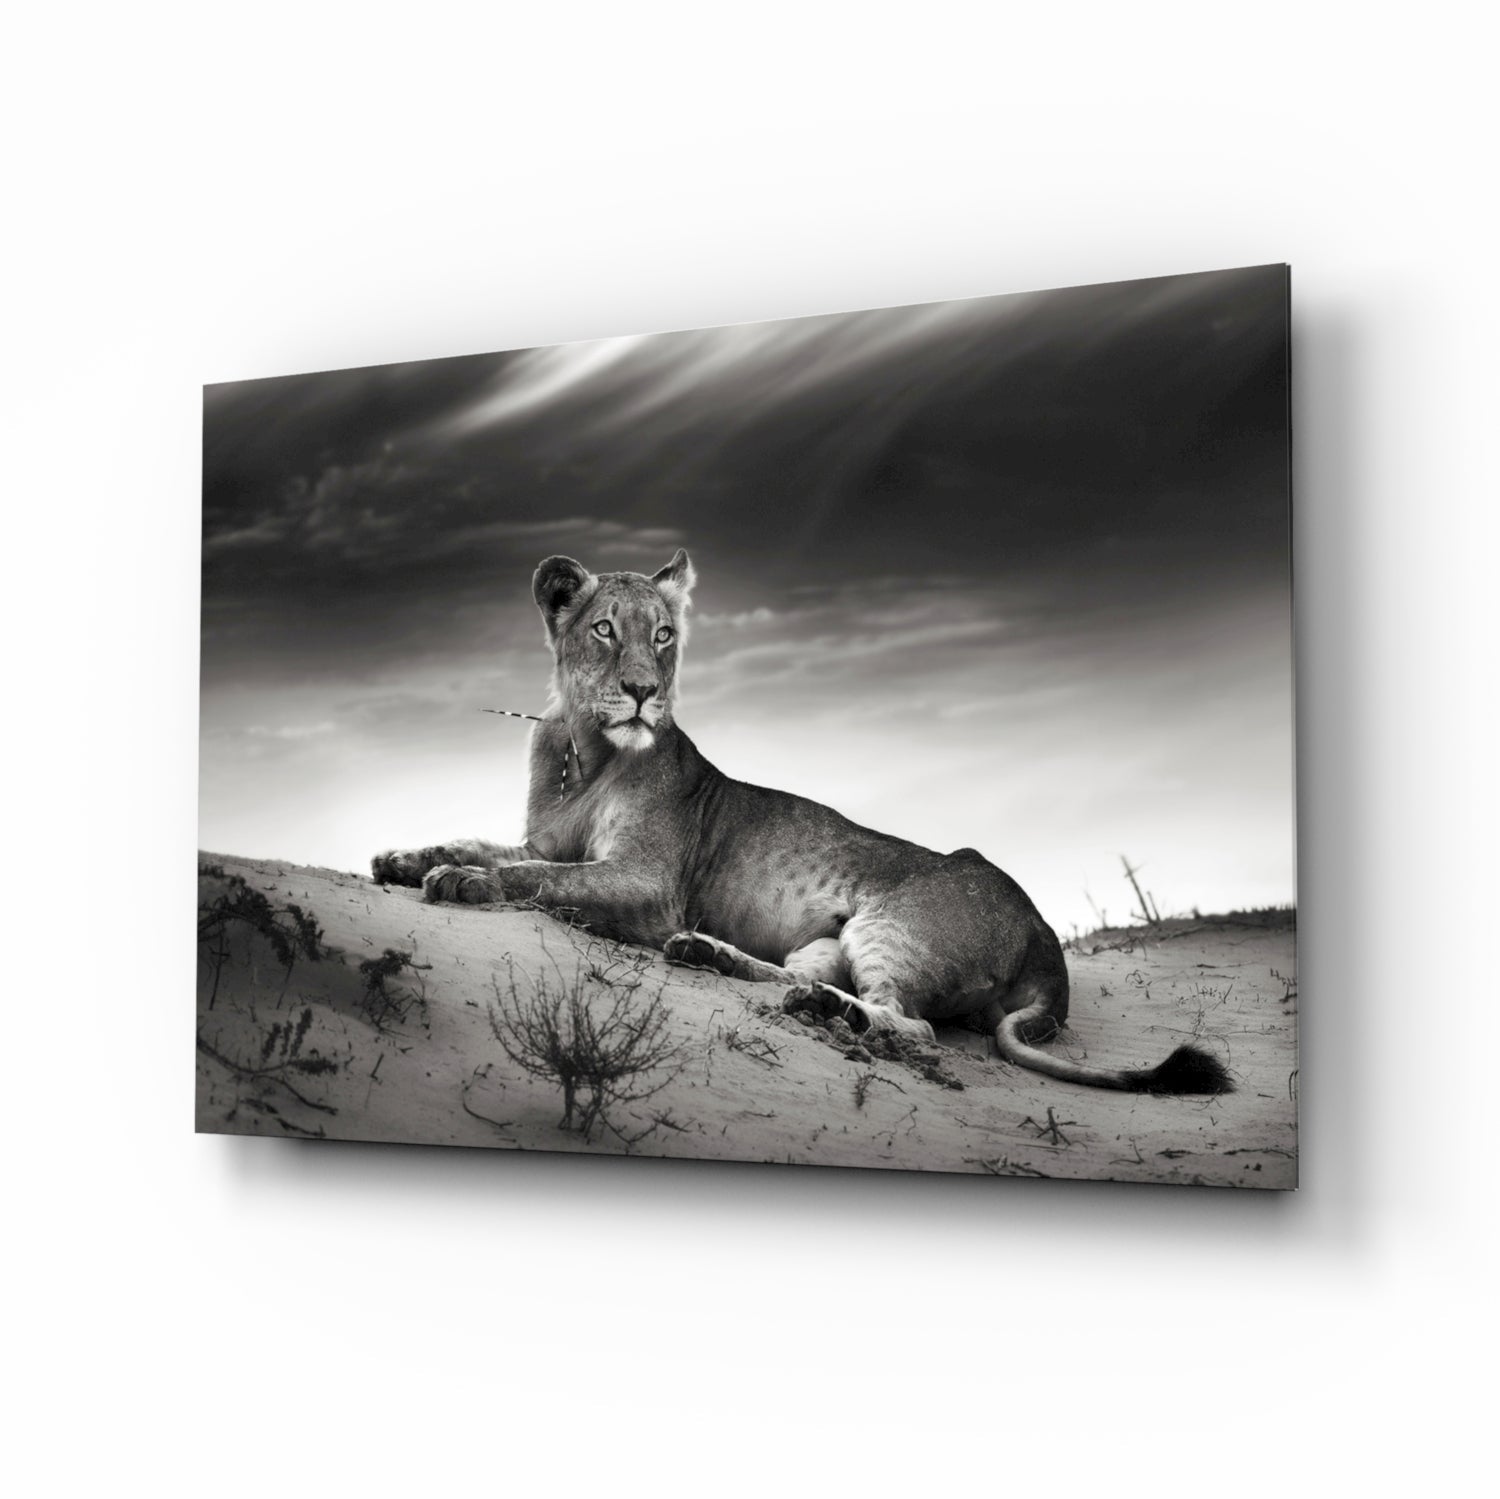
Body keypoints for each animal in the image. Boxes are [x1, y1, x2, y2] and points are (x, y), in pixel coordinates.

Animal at [372, 550, 1231, 1094]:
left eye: (664, 634)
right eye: (604, 629)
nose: (645, 691)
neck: (584, 749)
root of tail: (1046, 934)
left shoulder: (648, 884)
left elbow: (537, 876)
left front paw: (460, 880)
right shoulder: (545, 838)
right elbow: (493, 845)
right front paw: (405, 858)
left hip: (890, 927)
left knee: (908, 1025)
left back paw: (821, 1008)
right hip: (827, 939)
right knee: (797, 976)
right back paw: (716, 958)